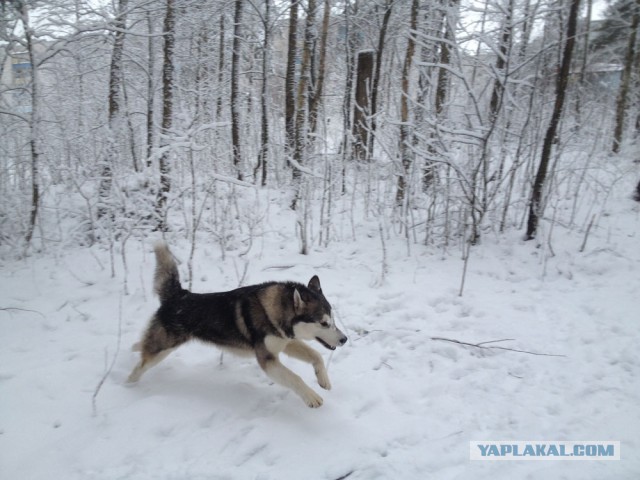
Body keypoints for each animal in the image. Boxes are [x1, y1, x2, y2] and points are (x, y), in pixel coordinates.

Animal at [129, 242, 348, 406]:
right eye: (323, 323)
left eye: (333, 320)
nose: (345, 339)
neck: (273, 311)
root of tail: (179, 295)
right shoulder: (267, 359)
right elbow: (295, 377)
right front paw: (312, 397)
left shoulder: (286, 342)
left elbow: (316, 355)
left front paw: (323, 380)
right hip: (162, 349)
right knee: (140, 367)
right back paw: (128, 386)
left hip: (162, 345)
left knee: (143, 346)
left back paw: (135, 347)